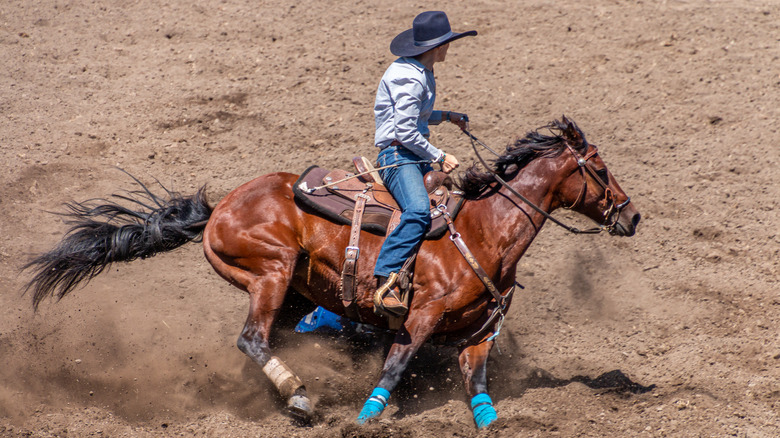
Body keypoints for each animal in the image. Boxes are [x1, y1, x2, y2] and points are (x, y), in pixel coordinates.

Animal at [24, 116, 640, 428]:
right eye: (599, 168)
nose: (631, 215)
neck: (487, 229)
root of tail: (220, 206)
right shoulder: (420, 316)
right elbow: (394, 366)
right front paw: (366, 418)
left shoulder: (479, 334)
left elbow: (478, 386)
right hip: (270, 273)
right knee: (251, 339)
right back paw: (298, 397)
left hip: (295, 292)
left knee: (265, 340)